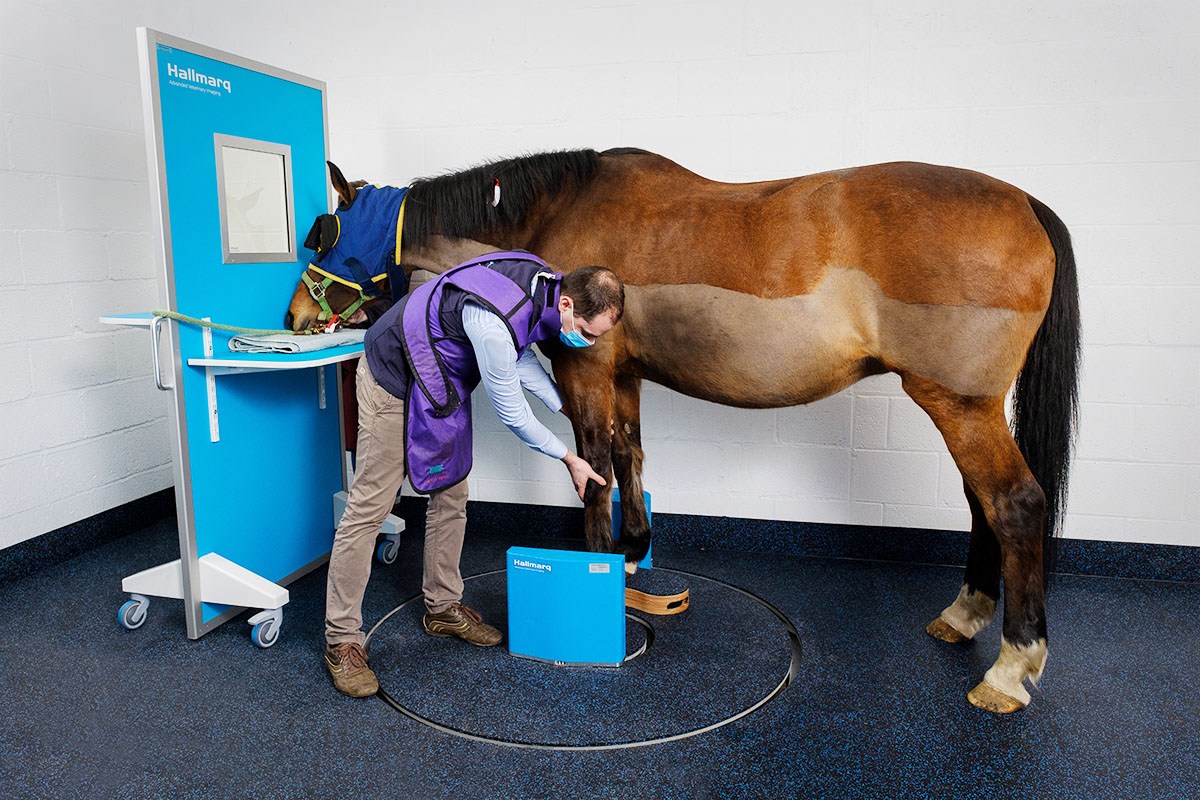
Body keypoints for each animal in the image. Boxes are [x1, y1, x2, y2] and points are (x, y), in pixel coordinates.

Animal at [288, 148, 1080, 714]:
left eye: (323, 236)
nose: (296, 315)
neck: (550, 222)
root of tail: (1027, 203)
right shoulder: (626, 373)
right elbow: (629, 457)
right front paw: (635, 558)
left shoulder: (586, 369)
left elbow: (593, 467)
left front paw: (601, 573)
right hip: (966, 408)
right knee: (983, 505)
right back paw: (967, 614)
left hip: (958, 404)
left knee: (1014, 505)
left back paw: (1011, 665)